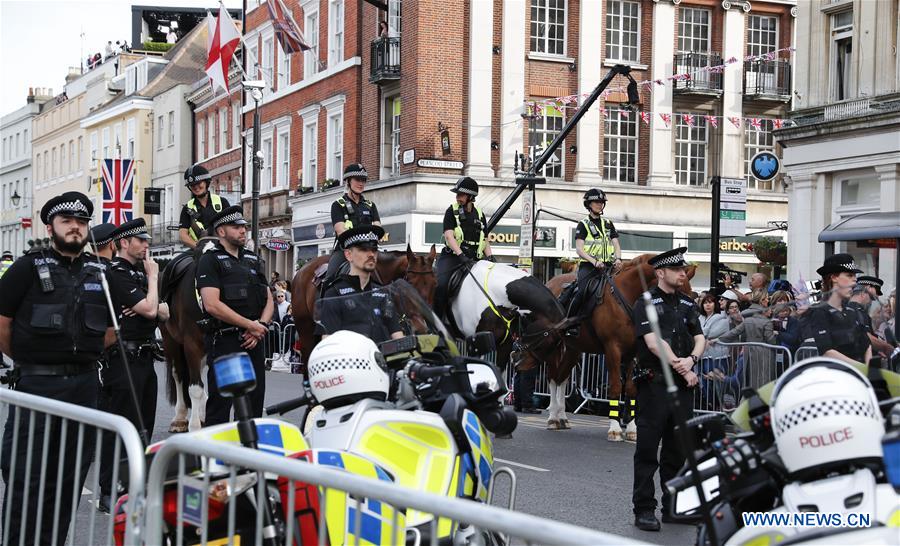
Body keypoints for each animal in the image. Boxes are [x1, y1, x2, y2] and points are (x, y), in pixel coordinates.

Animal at [524, 254, 700, 438]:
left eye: (690, 296)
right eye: (676, 292)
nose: (689, 327)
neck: (626, 296)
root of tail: (550, 282)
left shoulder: (632, 353)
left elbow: (630, 389)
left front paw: (631, 429)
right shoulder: (612, 349)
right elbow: (615, 386)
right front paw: (615, 428)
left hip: (573, 349)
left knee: (562, 378)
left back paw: (562, 417)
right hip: (552, 346)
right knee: (552, 377)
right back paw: (552, 418)